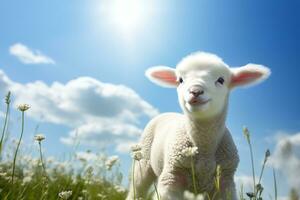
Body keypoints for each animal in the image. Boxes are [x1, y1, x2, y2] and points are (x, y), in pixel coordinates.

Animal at [125, 52, 270, 200]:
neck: (204, 149)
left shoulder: (226, 182)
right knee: (137, 188)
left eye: (221, 80)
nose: (195, 91)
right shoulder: (171, 178)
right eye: (180, 80)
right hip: (143, 161)